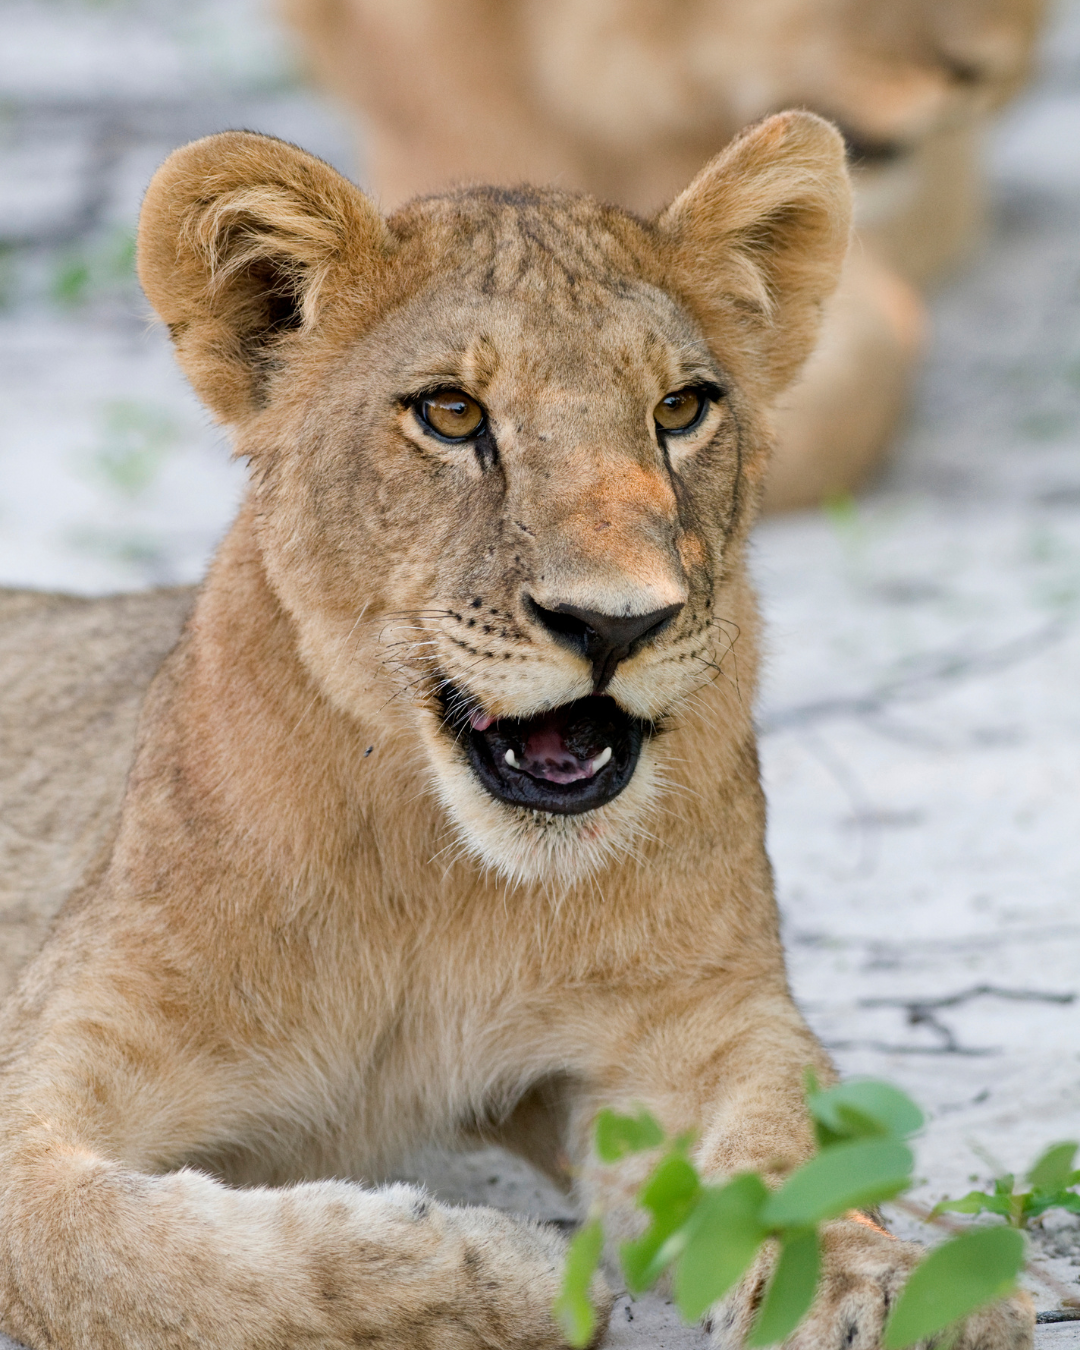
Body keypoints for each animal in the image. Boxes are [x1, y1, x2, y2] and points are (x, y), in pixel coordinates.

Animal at [0, 117, 1034, 1350]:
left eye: (681, 409)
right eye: (450, 413)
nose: (616, 622)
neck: (433, 875)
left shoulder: (693, 1022)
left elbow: (785, 1157)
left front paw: (895, 1286)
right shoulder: (45, 1077)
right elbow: (127, 1254)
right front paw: (488, 1275)